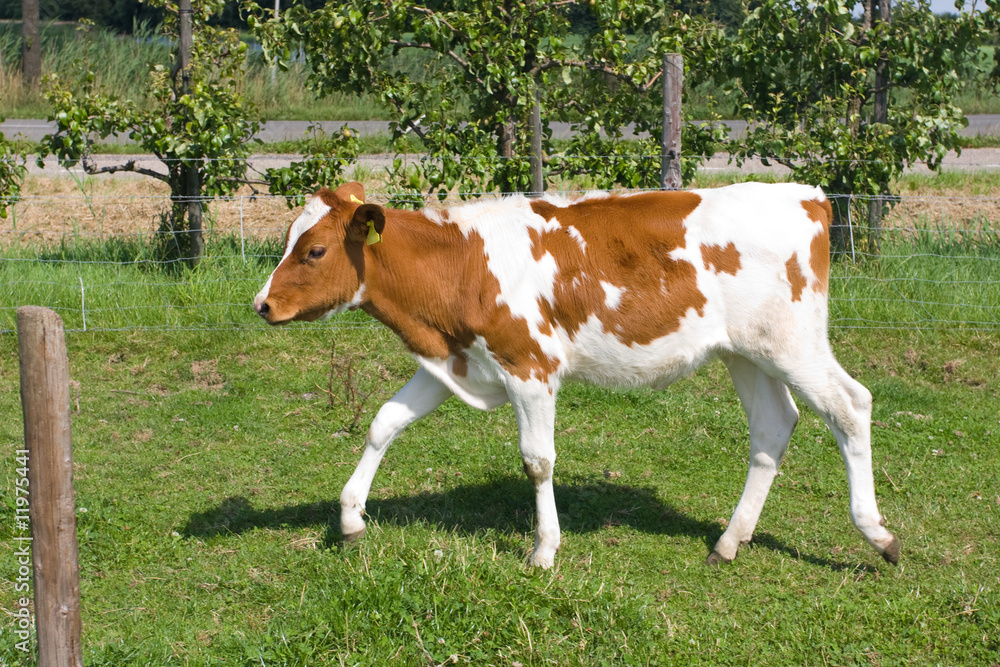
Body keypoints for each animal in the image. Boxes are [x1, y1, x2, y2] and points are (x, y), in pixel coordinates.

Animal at [253, 181, 900, 569]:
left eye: (313, 251)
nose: (262, 305)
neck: (461, 262)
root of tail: (805, 193)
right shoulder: (452, 362)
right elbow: (383, 423)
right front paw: (349, 517)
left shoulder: (529, 365)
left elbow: (537, 460)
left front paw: (544, 549)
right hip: (747, 351)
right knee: (772, 427)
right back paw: (728, 541)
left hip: (794, 343)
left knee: (850, 405)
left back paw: (877, 533)